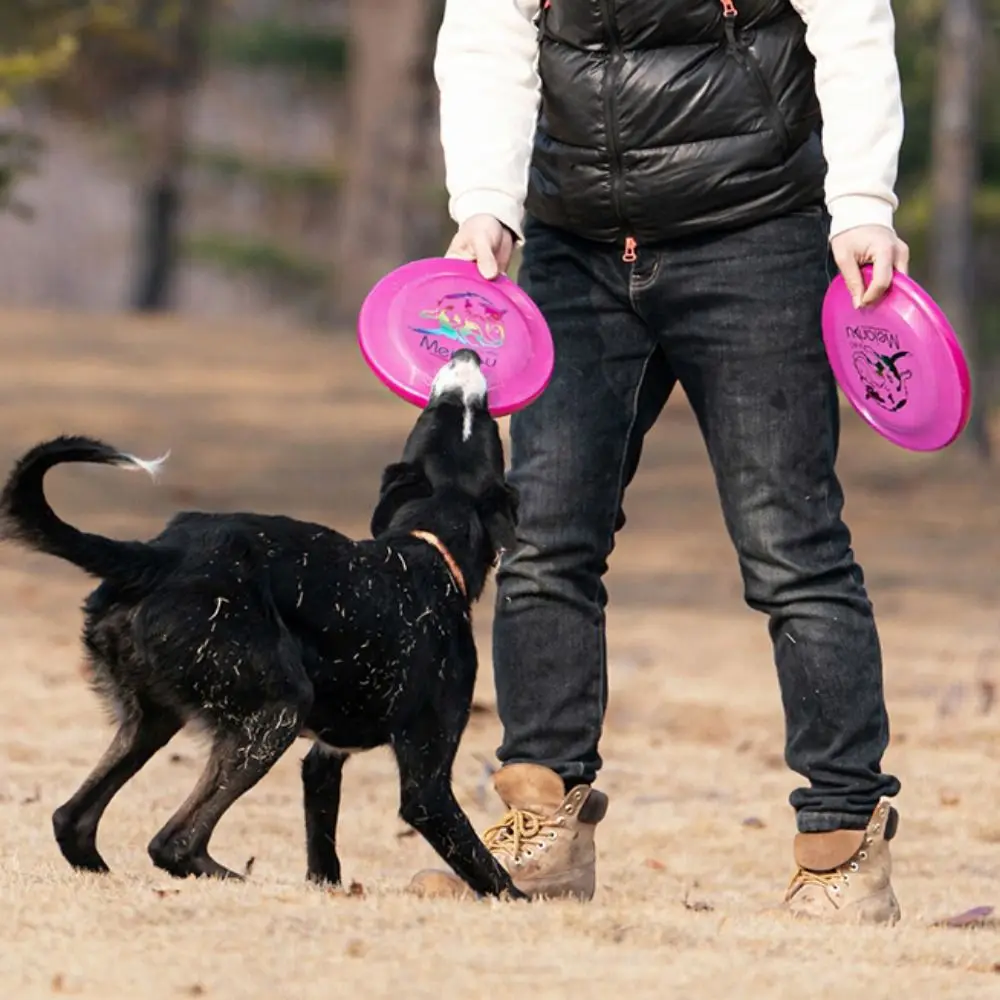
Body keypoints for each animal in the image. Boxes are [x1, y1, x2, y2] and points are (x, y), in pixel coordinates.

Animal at [1, 350, 524, 900]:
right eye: (480, 423)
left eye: (449, 414)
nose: (465, 356)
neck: (427, 548)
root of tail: (159, 555)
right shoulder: (427, 784)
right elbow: (487, 869)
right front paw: (520, 901)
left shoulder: (323, 759)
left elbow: (323, 847)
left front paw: (327, 892)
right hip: (276, 711)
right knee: (174, 841)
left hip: (154, 719)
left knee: (73, 820)